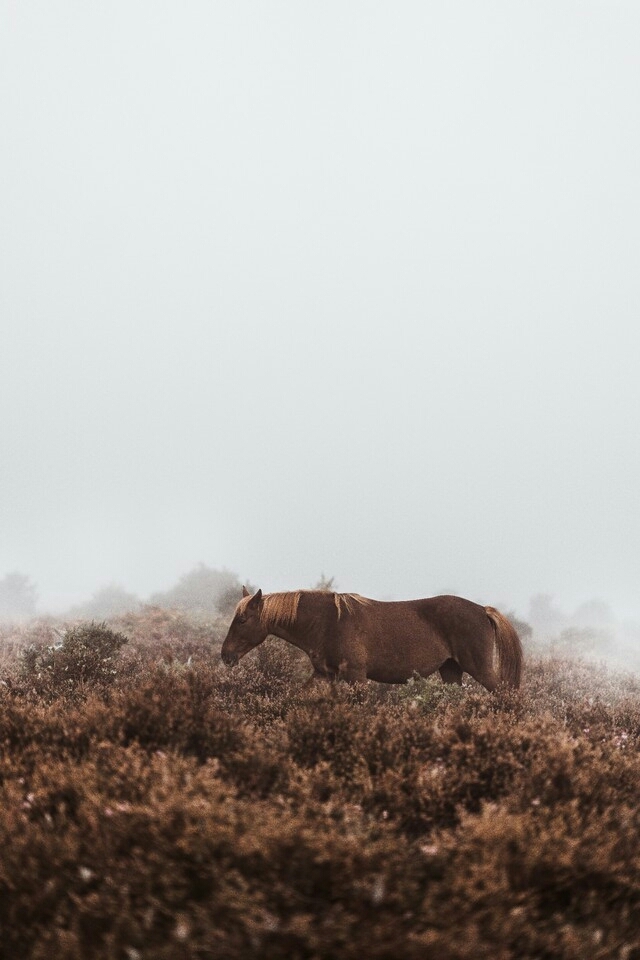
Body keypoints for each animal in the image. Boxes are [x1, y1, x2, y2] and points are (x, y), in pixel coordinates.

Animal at [220, 587, 523, 691]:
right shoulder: (324, 674)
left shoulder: (356, 676)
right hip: (450, 671)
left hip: (479, 668)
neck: (328, 622)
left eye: (243, 620)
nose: (225, 655)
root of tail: (482, 609)